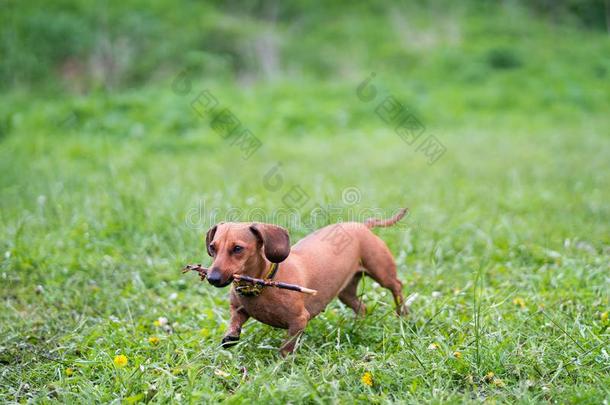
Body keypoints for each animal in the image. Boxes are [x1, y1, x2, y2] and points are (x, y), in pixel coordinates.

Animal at [204, 208, 408, 354]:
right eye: (212, 247)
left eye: (237, 248)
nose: (212, 278)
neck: (263, 283)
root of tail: (362, 225)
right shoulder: (239, 309)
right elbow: (235, 320)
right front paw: (230, 336)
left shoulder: (299, 320)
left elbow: (286, 348)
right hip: (346, 293)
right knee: (361, 306)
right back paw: (359, 324)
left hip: (382, 273)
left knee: (396, 286)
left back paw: (403, 314)